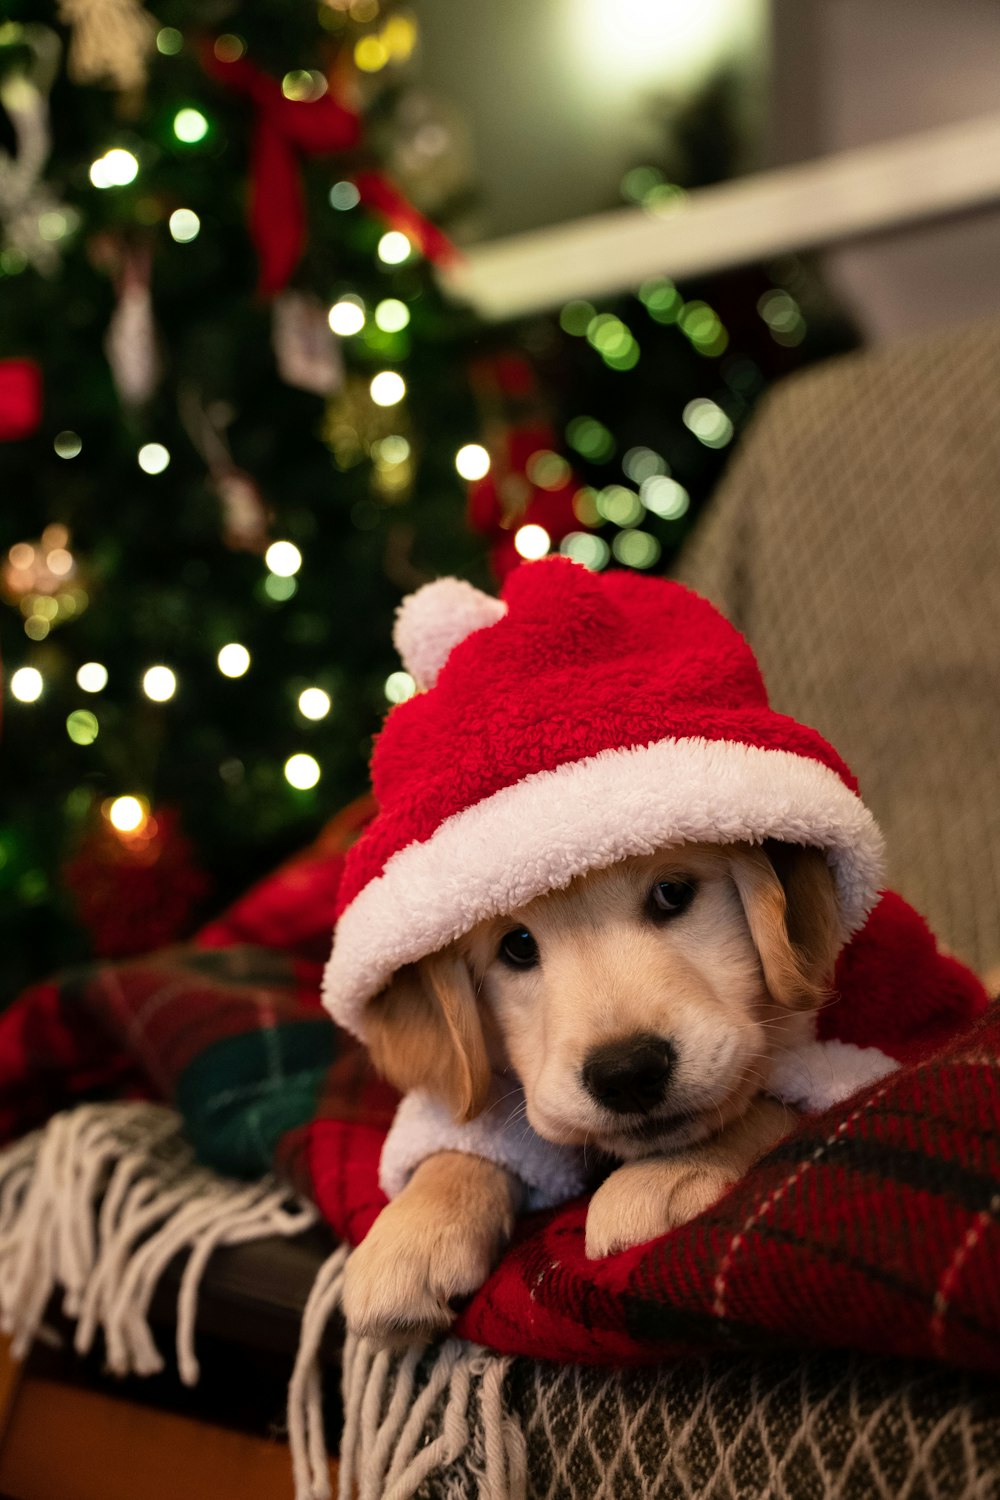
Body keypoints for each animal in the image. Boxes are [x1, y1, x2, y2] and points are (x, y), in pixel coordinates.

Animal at [344, 840, 845, 1344]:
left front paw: (664, 1173)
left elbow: (764, 1104)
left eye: (671, 893)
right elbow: (476, 1138)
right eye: (517, 945)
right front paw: (414, 1232)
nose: (626, 1075)